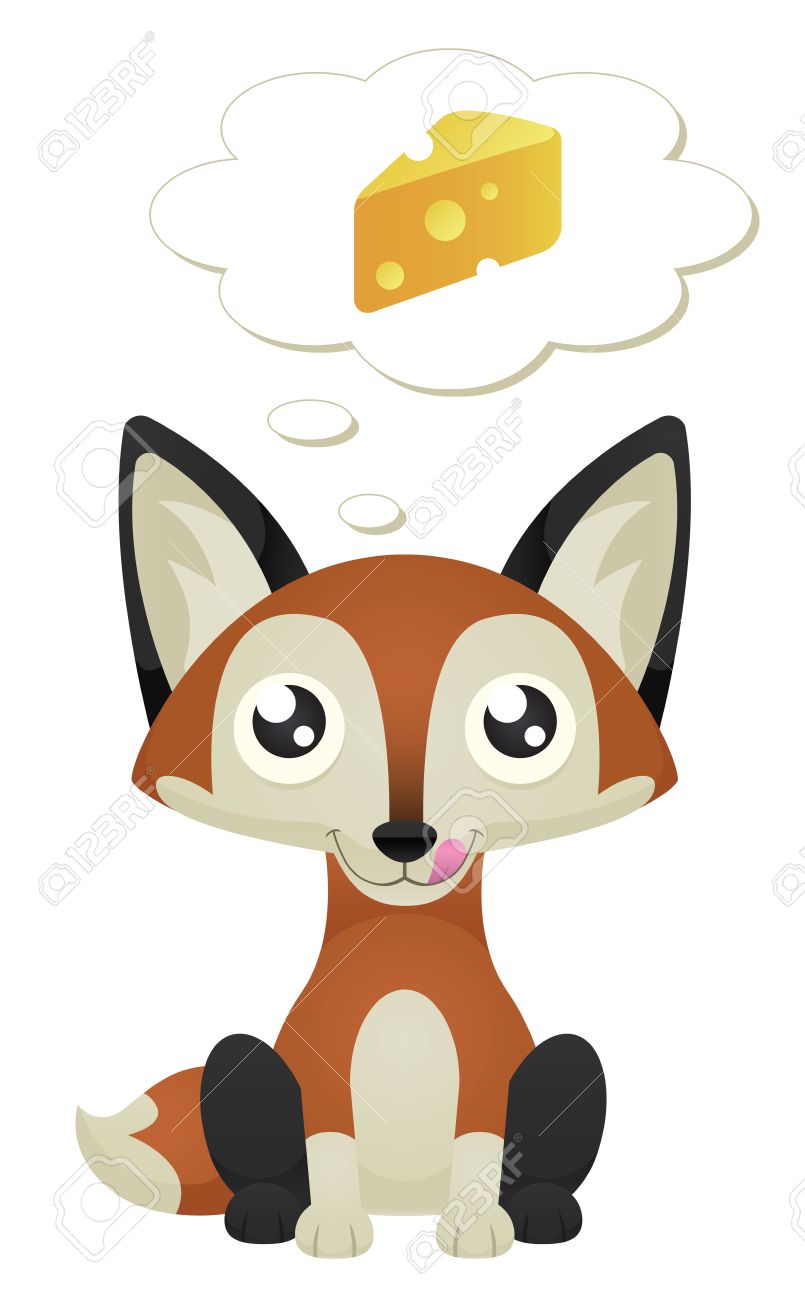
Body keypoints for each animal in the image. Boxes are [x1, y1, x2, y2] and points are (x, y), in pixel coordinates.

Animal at [76, 414, 689, 1259]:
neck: (403, 946)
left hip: (566, 1066)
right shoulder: (321, 1078)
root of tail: (404, 1201)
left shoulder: (487, 1075)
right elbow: (327, 1149)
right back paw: (266, 1210)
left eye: (523, 724)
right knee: (245, 1087)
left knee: (566, 1072)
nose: (406, 835)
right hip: (244, 1068)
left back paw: (539, 1211)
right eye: (286, 724)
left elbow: (480, 1147)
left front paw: (477, 1225)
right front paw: (330, 1222)